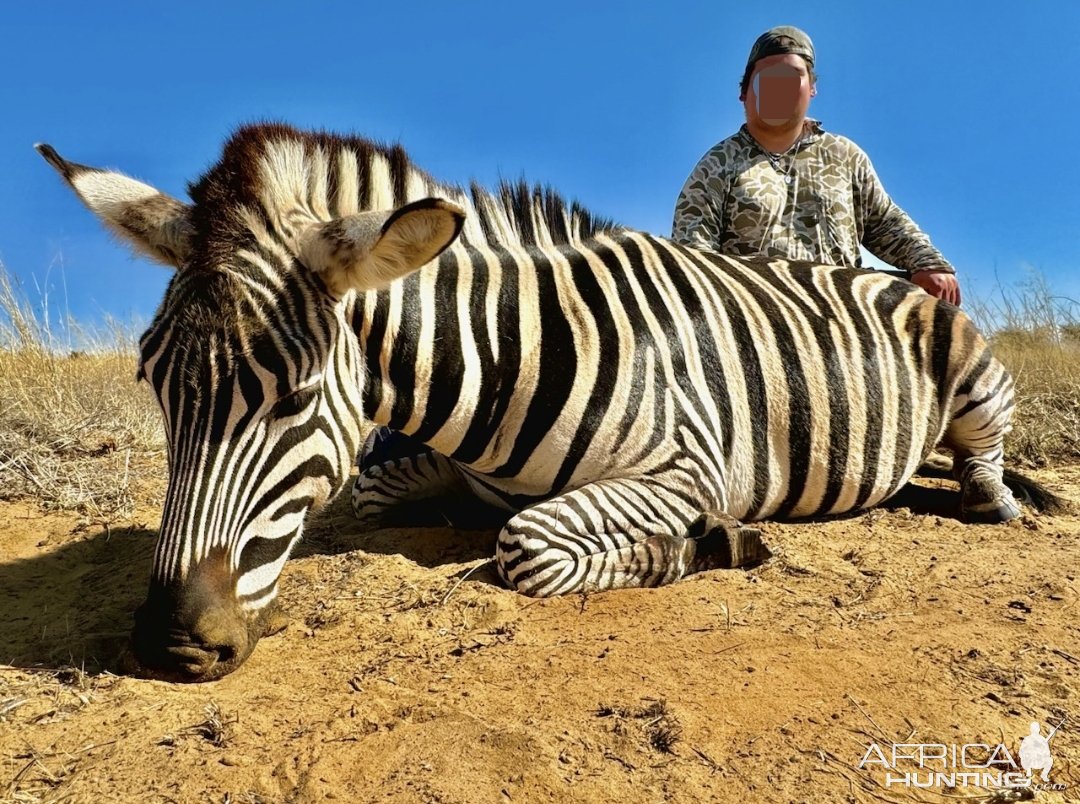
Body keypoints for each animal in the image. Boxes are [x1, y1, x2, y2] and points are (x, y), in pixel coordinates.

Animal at [35, 122, 1062, 682]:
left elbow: (526, 544)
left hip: (975, 378)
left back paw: (995, 497)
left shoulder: (686, 468)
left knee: (983, 461)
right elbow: (373, 488)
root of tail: (888, 279)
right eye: (152, 383)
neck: (505, 362)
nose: (169, 645)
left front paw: (710, 545)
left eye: (292, 398)